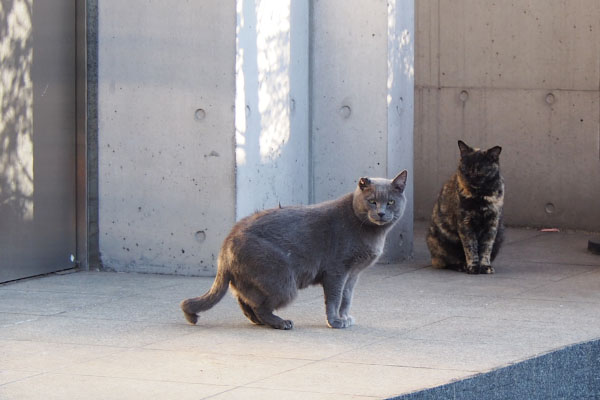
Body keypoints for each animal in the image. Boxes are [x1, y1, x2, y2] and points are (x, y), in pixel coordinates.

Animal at [180, 170, 408, 330]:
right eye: (372, 201)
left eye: (390, 202)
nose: (381, 213)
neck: (370, 232)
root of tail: (226, 244)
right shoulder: (337, 270)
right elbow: (335, 298)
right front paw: (335, 321)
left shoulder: (353, 274)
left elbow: (347, 297)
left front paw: (344, 317)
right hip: (283, 281)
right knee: (259, 306)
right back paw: (280, 323)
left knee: (245, 301)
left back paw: (263, 321)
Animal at [424, 141, 504, 276]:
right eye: (465, 167)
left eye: (480, 169)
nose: (470, 176)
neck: (480, 196)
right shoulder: (465, 223)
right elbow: (470, 247)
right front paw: (473, 267)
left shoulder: (492, 224)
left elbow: (486, 248)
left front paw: (485, 266)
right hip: (439, 241)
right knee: (447, 262)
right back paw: (462, 266)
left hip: (500, 233)